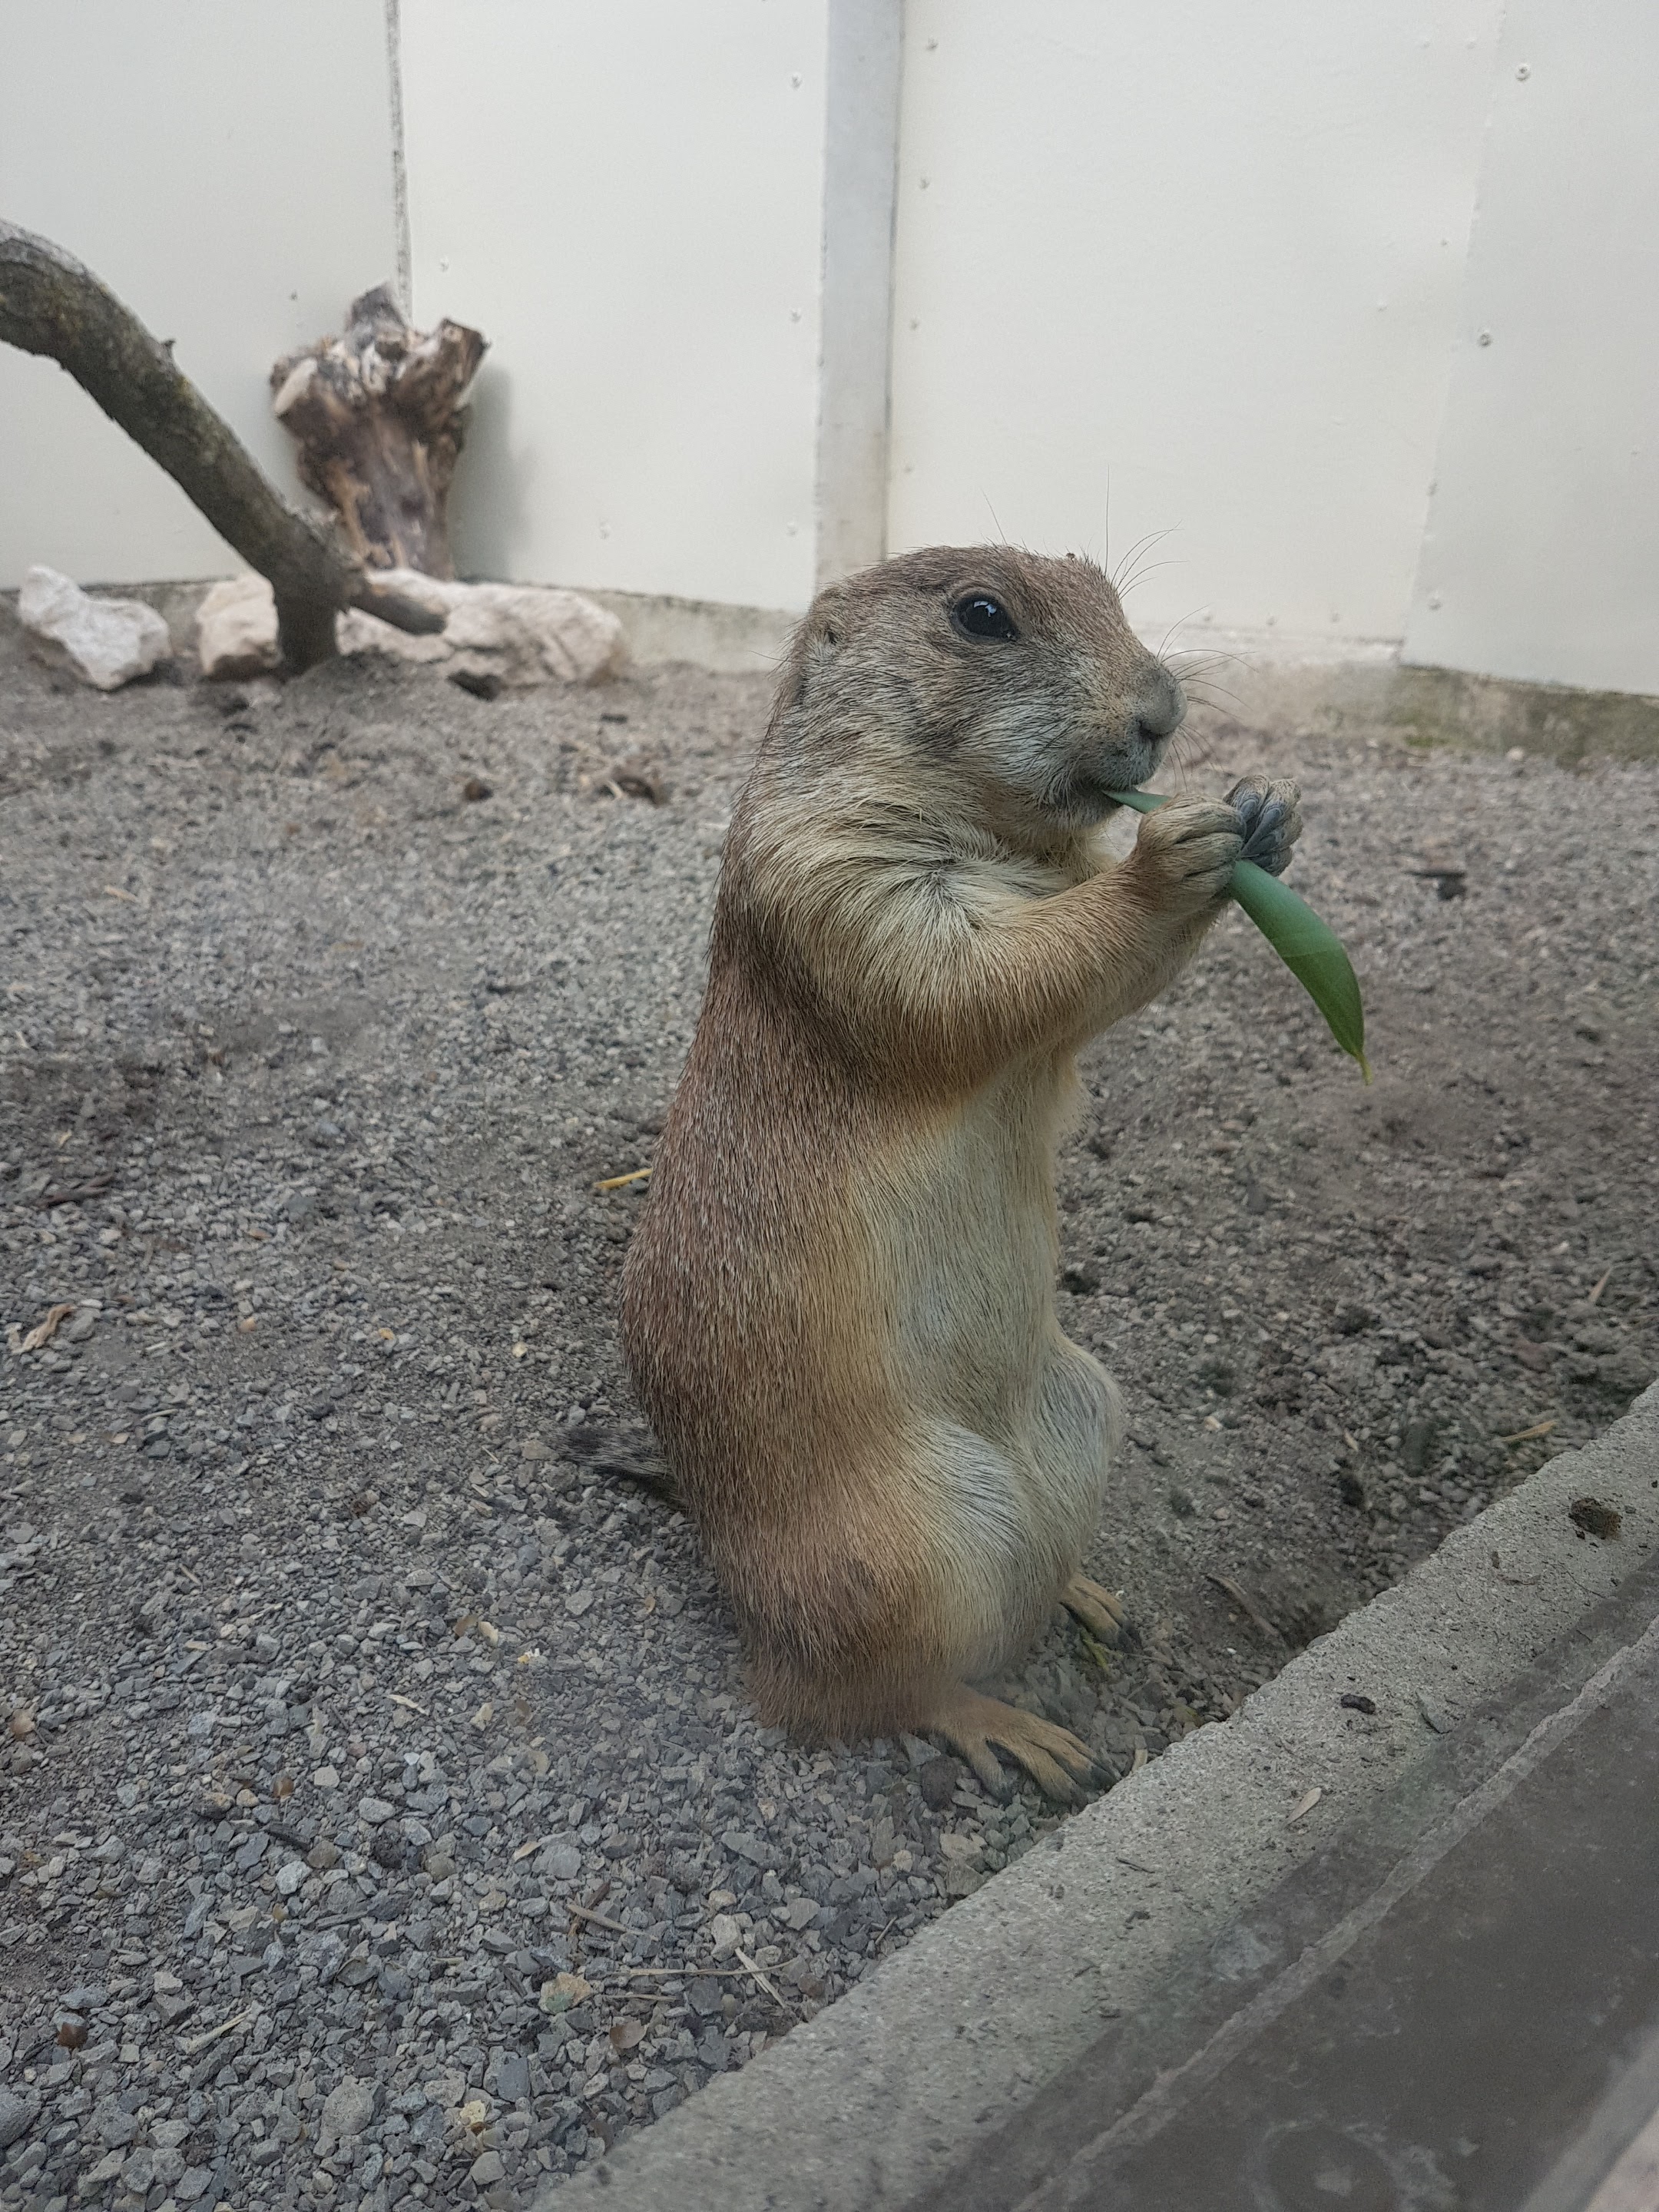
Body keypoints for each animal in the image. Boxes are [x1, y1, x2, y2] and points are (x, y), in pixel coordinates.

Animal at [621, 546, 1300, 1798]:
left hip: (1085, 1410)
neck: (1014, 845)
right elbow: (977, 981)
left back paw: (1089, 1596)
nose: (1164, 708)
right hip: (903, 1549)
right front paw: (1175, 853)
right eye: (982, 616)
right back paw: (1021, 1737)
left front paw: (1267, 816)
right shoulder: (836, 885)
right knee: (860, 1698)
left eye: (1103, 582)